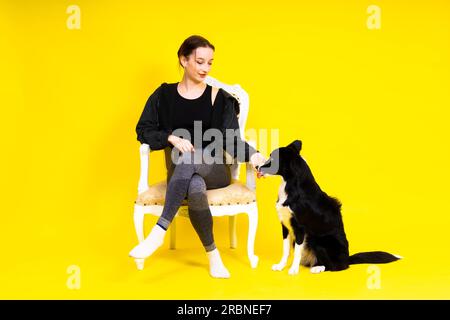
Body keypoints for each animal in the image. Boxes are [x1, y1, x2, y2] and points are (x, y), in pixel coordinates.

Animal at [256, 141, 400, 276]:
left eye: (273, 159)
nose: (257, 167)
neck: (290, 183)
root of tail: (347, 258)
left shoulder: (300, 228)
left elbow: (296, 252)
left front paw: (293, 270)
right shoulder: (285, 225)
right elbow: (285, 250)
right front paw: (280, 266)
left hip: (319, 241)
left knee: (336, 266)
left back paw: (318, 268)